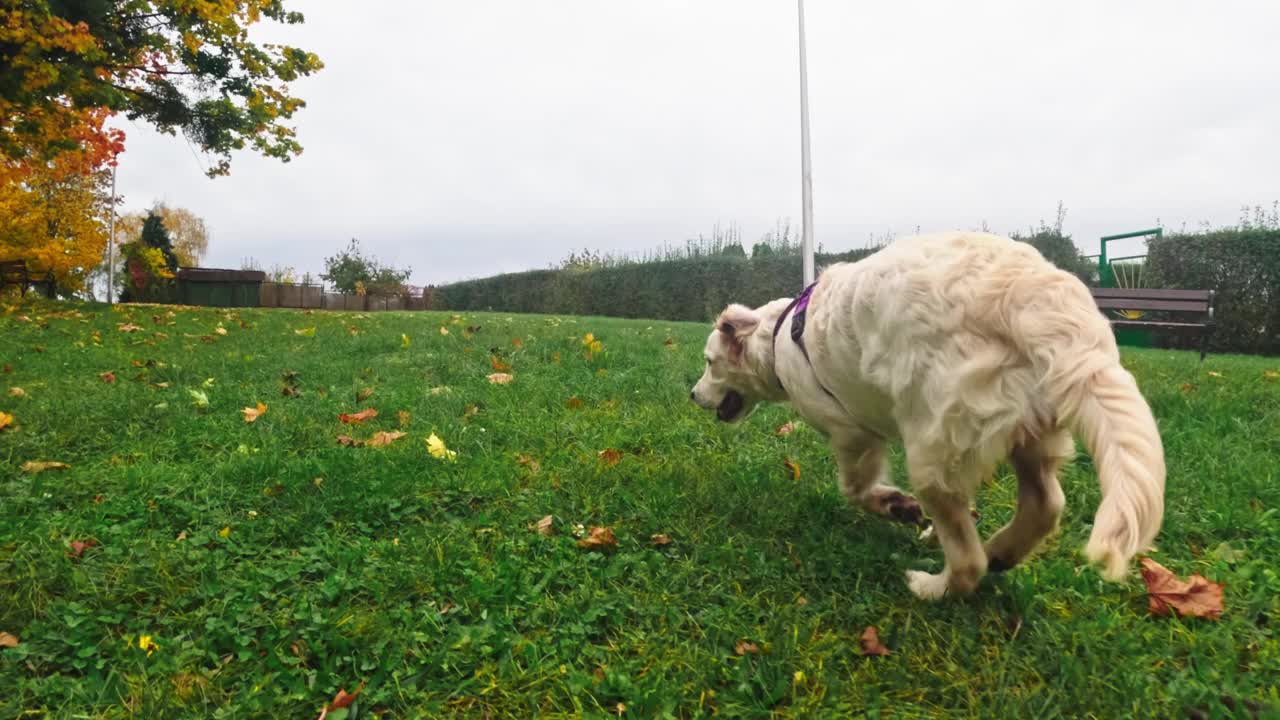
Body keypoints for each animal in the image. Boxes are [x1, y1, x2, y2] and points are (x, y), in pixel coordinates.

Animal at [696, 229, 1167, 594]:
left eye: (708, 362)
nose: (692, 394)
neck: (779, 338)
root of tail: (1032, 297)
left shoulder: (851, 434)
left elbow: (855, 488)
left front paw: (895, 506)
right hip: (1029, 435)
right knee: (1045, 505)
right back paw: (1001, 552)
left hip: (931, 451)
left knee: (968, 562)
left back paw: (932, 585)